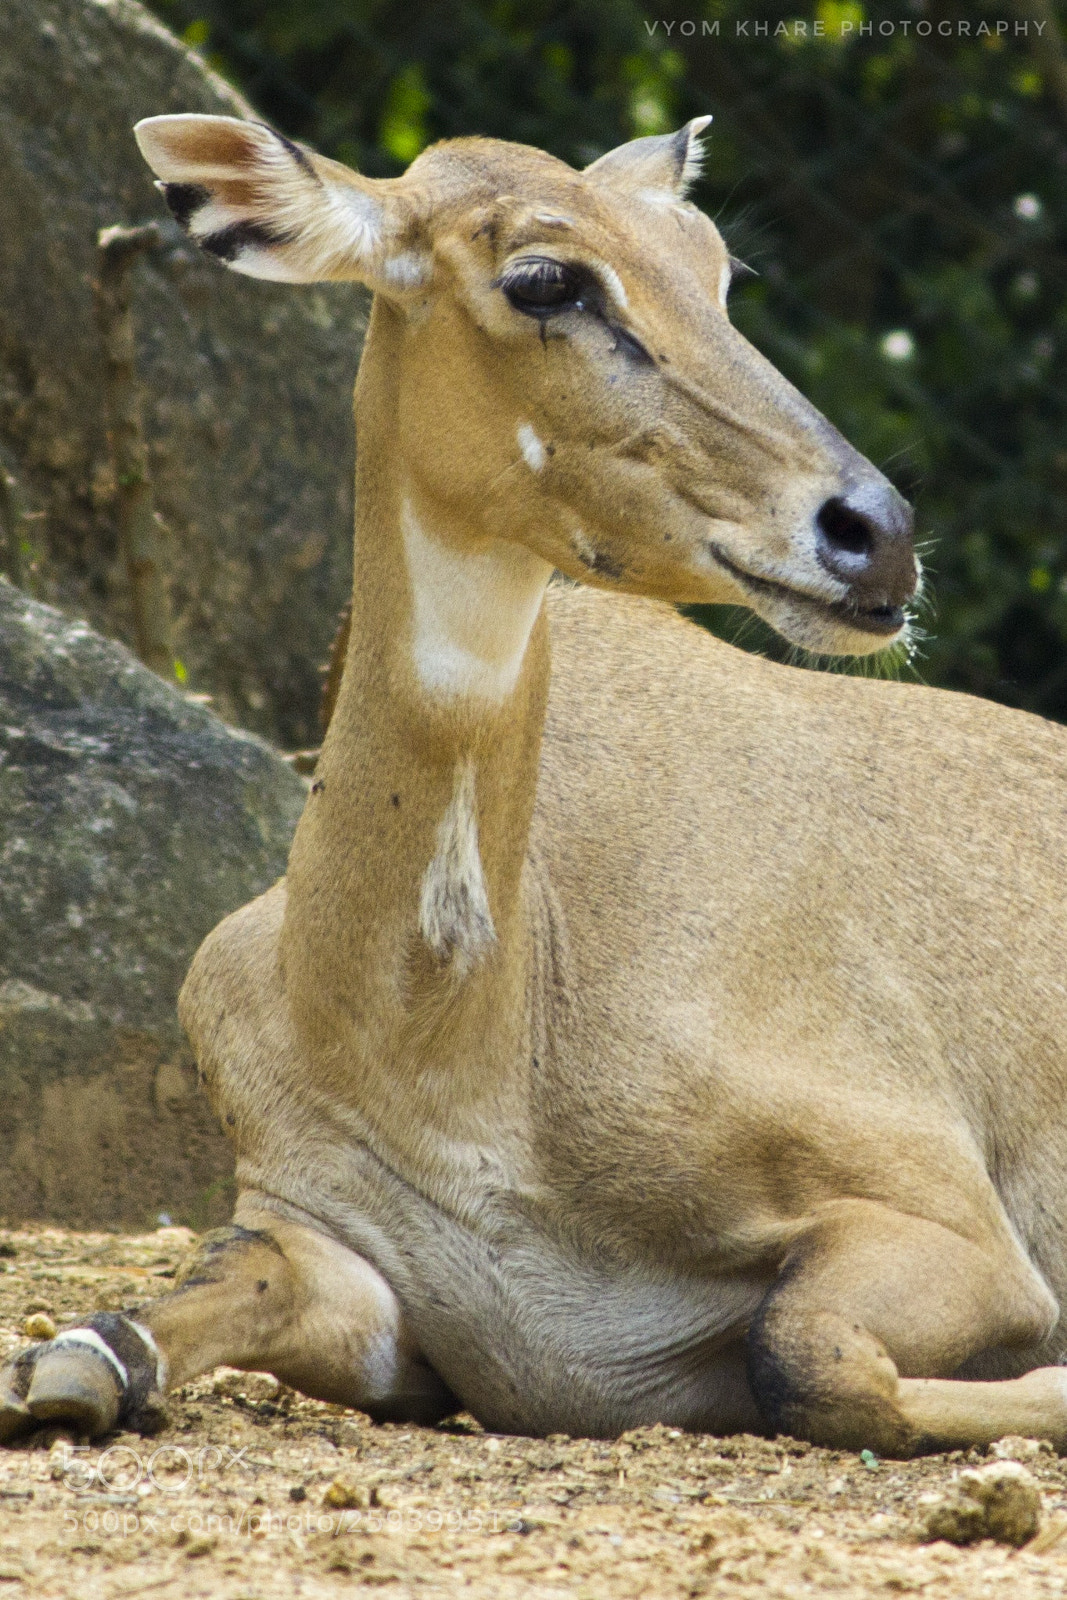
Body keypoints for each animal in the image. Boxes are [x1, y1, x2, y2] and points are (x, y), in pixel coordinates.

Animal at [4, 111, 1067, 1462]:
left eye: (713, 265)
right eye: (546, 278)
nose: (872, 535)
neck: (461, 1054)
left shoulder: (949, 1212)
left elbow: (801, 1354)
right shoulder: (335, 1238)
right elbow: (172, 1305)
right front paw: (76, 1365)